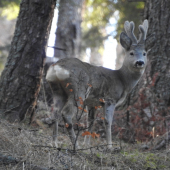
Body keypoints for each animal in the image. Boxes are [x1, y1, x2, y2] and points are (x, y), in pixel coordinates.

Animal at [45, 19, 155, 149]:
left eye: (144, 53)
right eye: (131, 53)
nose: (140, 63)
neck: (122, 80)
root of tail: (56, 67)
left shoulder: (93, 103)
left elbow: (90, 121)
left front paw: (87, 144)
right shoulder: (110, 98)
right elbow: (107, 121)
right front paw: (110, 146)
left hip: (57, 90)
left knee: (56, 112)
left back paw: (54, 143)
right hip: (78, 90)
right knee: (66, 114)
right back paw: (75, 145)